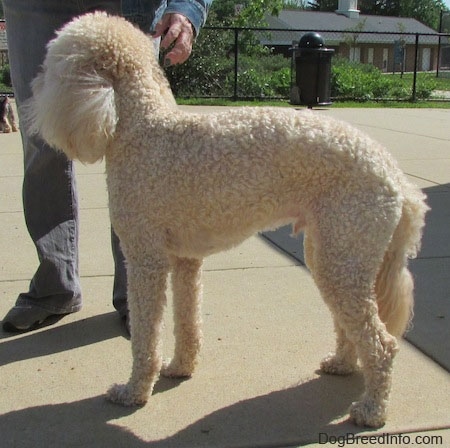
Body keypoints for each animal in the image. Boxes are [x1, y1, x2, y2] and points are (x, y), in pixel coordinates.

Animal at [23, 13, 428, 428]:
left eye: (53, 65)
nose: (31, 92)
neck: (143, 129)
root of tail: (394, 174)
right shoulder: (184, 260)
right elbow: (186, 321)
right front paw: (180, 368)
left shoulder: (145, 259)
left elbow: (146, 335)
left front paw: (134, 392)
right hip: (331, 255)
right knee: (352, 326)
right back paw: (342, 364)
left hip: (343, 258)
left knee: (383, 344)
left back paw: (372, 410)